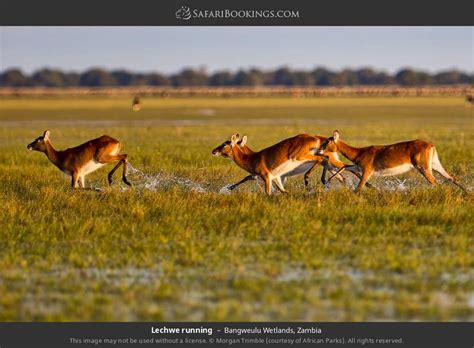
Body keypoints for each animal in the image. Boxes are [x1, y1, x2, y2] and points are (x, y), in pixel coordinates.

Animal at [212, 133, 370, 194]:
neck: (252, 157)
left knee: (331, 163)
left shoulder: (265, 176)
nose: (213, 151)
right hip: (329, 164)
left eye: (225, 144)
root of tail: (317, 138)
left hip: (305, 157)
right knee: (342, 173)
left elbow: (266, 190)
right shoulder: (275, 177)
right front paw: (228, 188)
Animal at [318, 130, 466, 192]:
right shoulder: (359, 167)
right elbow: (345, 167)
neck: (360, 152)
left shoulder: (367, 171)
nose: (318, 151)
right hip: (434, 165)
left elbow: (358, 187)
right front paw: (327, 181)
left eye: (327, 142)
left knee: (435, 183)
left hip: (423, 168)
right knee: (451, 177)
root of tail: (430, 145)